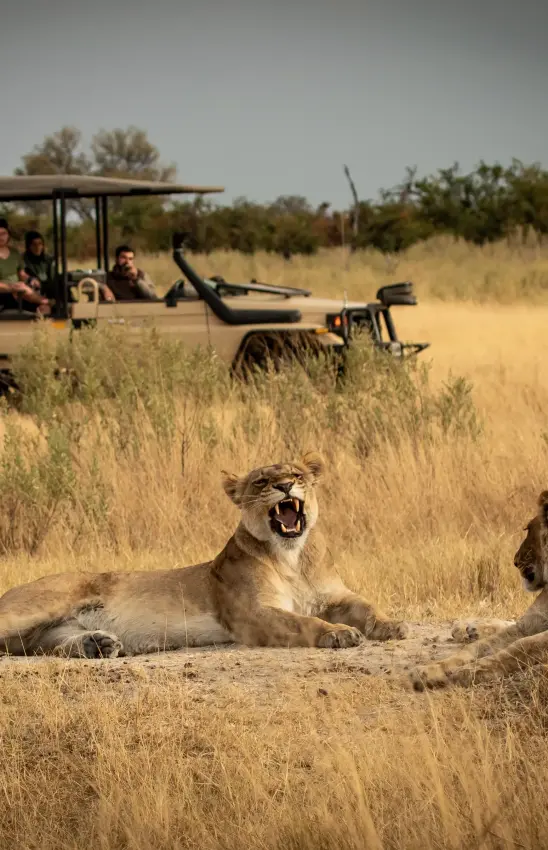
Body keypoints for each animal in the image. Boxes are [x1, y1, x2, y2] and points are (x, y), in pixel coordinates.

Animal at [0, 452, 408, 658]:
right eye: (261, 482)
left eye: (296, 475)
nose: (284, 486)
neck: (292, 557)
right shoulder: (252, 613)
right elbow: (304, 622)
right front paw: (339, 633)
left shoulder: (336, 595)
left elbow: (367, 606)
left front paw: (392, 626)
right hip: (38, 605)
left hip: (53, 628)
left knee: (35, 645)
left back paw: (97, 644)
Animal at [408, 490, 548, 690]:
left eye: (528, 530)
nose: (515, 561)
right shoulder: (527, 625)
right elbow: (477, 647)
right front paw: (430, 670)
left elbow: (522, 646)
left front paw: (469, 672)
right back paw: (469, 628)